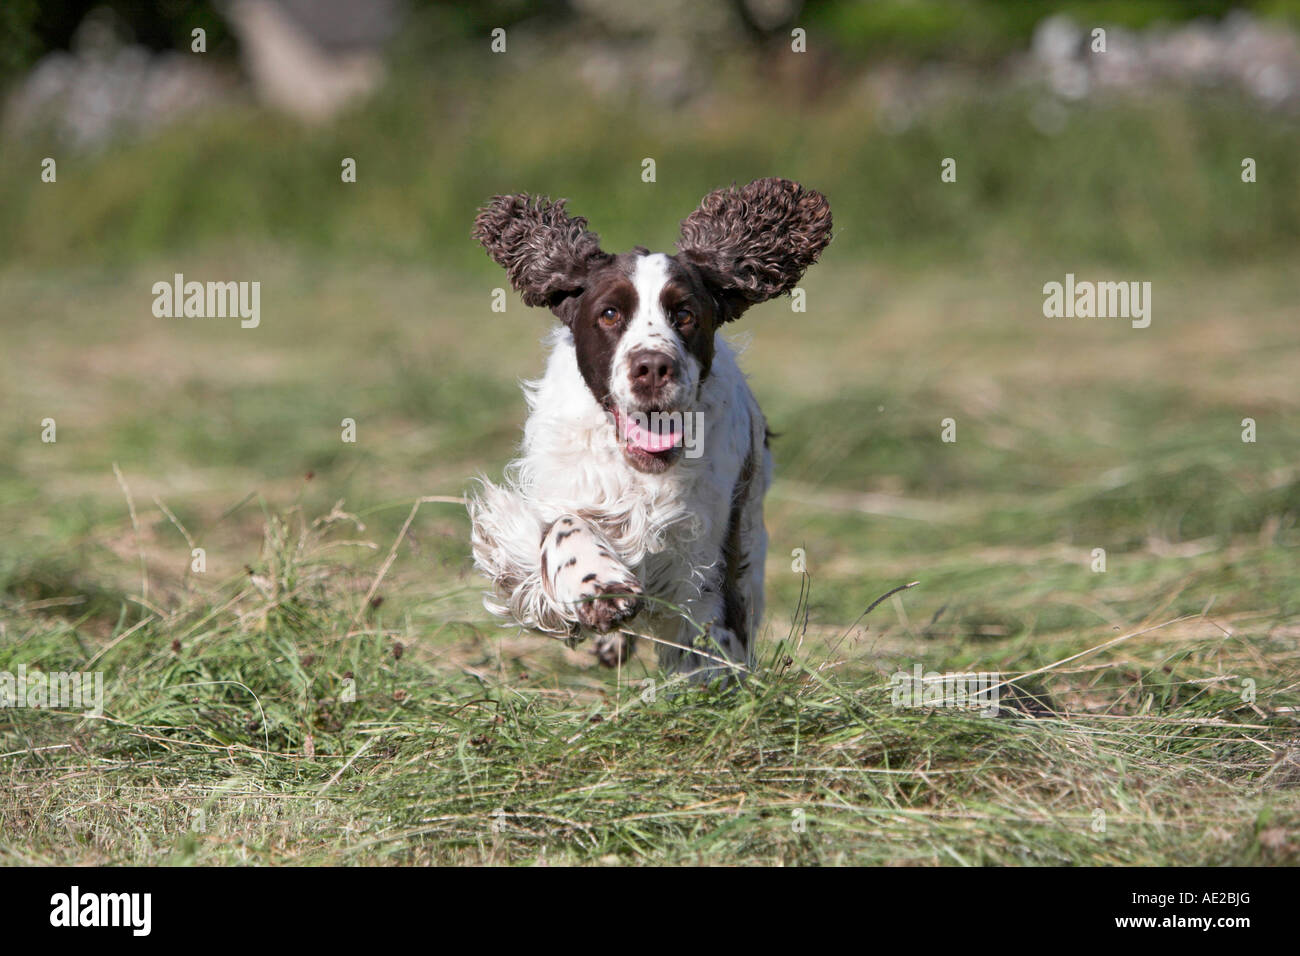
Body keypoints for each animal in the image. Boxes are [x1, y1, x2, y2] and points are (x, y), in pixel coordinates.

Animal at [467, 178, 832, 681]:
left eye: (685, 314)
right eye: (609, 314)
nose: (653, 366)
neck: (641, 471)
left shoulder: (709, 552)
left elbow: (710, 631)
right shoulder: (559, 498)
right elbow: (564, 525)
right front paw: (598, 586)